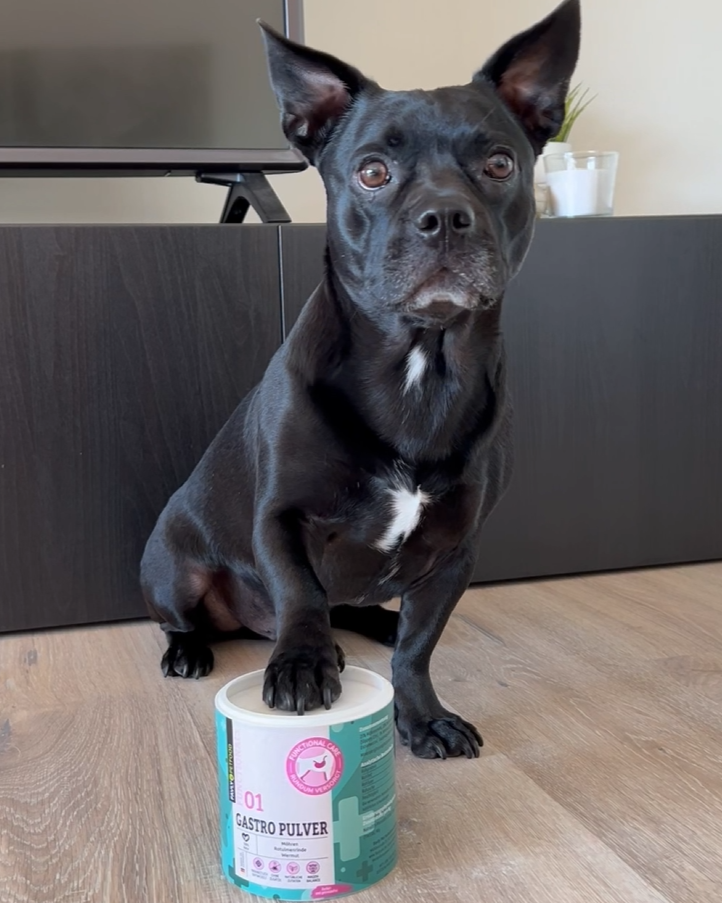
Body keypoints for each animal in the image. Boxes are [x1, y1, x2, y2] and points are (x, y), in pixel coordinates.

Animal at [142, 0, 580, 760]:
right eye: (372, 172)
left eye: (500, 163)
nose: (444, 216)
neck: (422, 363)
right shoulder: (281, 521)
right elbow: (301, 594)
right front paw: (302, 666)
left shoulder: (454, 552)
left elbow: (418, 647)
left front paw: (423, 714)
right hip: (173, 564)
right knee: (187, 615)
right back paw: (193, 648)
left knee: (372, 616)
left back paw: (376, 623)